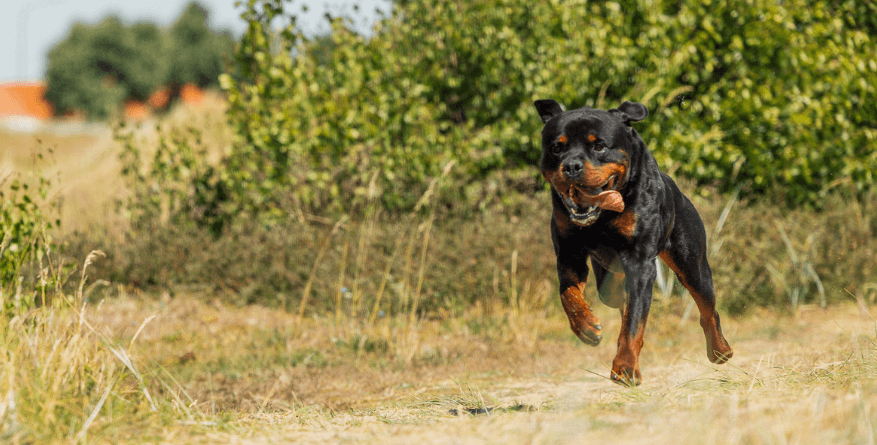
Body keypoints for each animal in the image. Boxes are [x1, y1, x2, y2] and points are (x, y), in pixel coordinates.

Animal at [532, 99, 732, 384]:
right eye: (557, 148)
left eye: (599, 146)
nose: (571, 166)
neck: (601, 218)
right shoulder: (569, 254)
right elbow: (568, 294)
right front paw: (586, 326)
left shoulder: (639, 262)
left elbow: (634, 322)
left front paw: (625, 366)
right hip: (609, 281)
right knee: (617, 298)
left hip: (692, 266)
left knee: (707, 309)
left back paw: (720, 350)